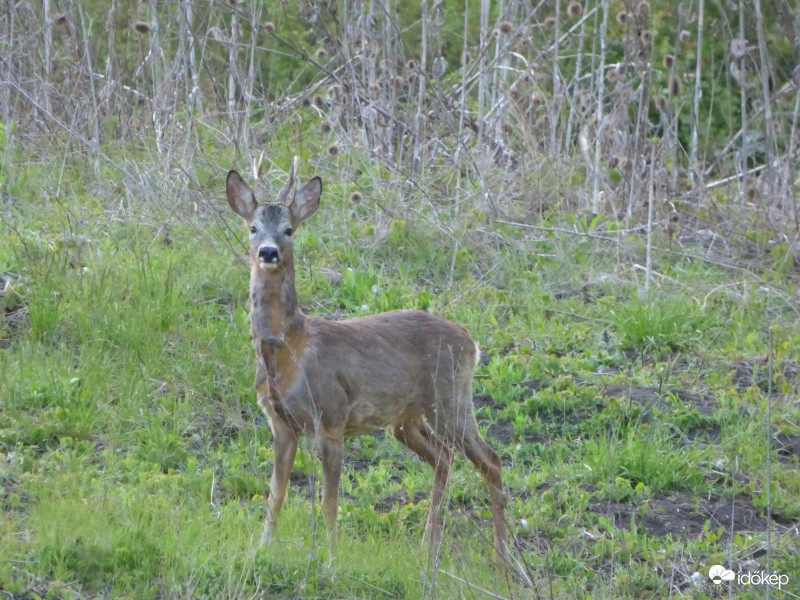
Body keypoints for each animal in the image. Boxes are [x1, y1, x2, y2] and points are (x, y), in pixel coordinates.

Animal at [227, 157, 506, 564]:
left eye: (289, 230)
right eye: (253, 227)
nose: (268, 252)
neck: (288, 350)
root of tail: (472, 342)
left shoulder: (331, 417)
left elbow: (329, 502)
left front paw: (331, 559)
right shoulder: (281, 424)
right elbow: (275, 495)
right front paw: (259, 551)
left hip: (450, 398)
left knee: (491, 461)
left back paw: (504, 562)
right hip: (406, 419)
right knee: (444, 458)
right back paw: (427, 550)